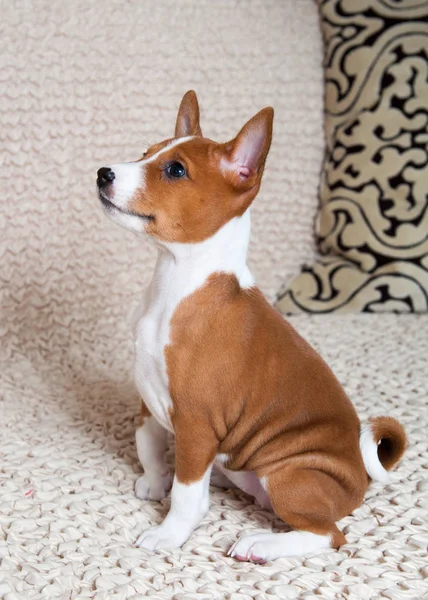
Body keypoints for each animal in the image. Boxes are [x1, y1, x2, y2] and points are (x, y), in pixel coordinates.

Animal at [98, 90, 408, 564]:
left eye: (175, 170)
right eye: (146, 153)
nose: (103, 173)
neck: (177, 284)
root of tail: (361, 477)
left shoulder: (196, 424)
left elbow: (187, 495)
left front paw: (169, 533)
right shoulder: (149, 402)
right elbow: (148, 446)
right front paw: (154, 482)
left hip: (290, 476)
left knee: (329, 535)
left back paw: (260, 543)